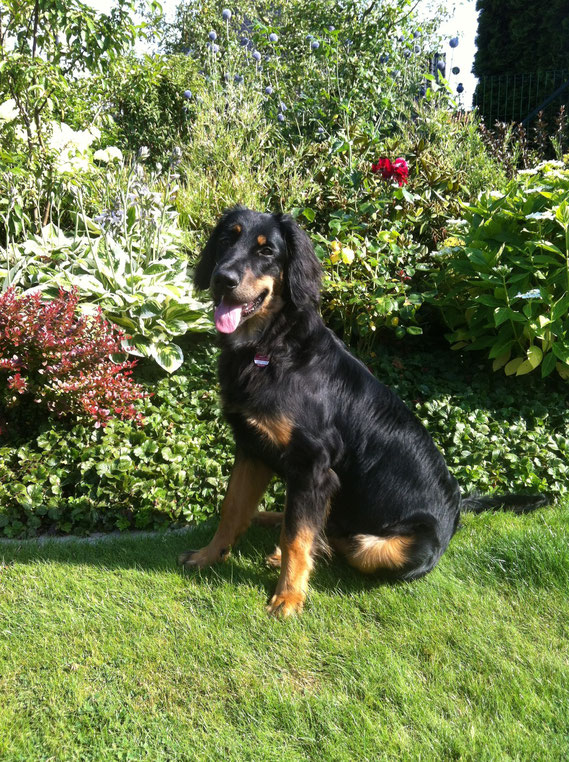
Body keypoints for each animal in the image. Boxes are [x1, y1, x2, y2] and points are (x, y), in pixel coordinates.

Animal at [179, 205, 552, 616]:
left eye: (267, 252)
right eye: (226, 239)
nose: (222, 279)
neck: (271, 348)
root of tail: (456, 509)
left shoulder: (313, 466)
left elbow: (297, 537)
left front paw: (288, 596)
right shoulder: (251, 447)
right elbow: (232, 509)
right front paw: (209, 555)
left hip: (381, 546)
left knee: (334, 537)